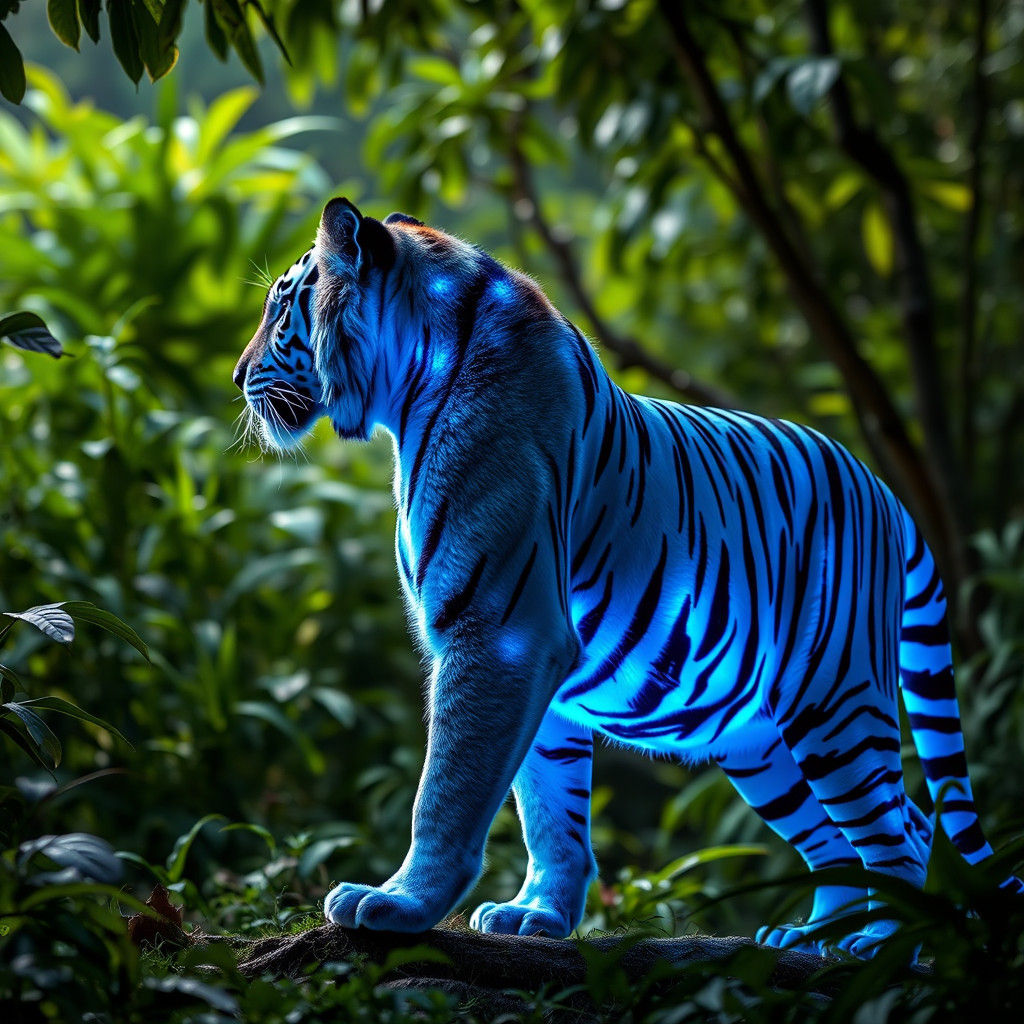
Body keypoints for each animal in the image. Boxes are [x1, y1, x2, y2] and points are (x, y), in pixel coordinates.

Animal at [233, 197, 1020, 957]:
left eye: (278, 310)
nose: (238, 378)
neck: (409, 386)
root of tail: (885, 490)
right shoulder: (537, 671)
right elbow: (549, 814)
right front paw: (537, 916)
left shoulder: (497, 631)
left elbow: (449, 791)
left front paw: (399, 904)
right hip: (757, 740)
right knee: (863, 835)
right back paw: (812, 937)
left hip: (832, 700)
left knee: (895, 832)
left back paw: (878, 945)